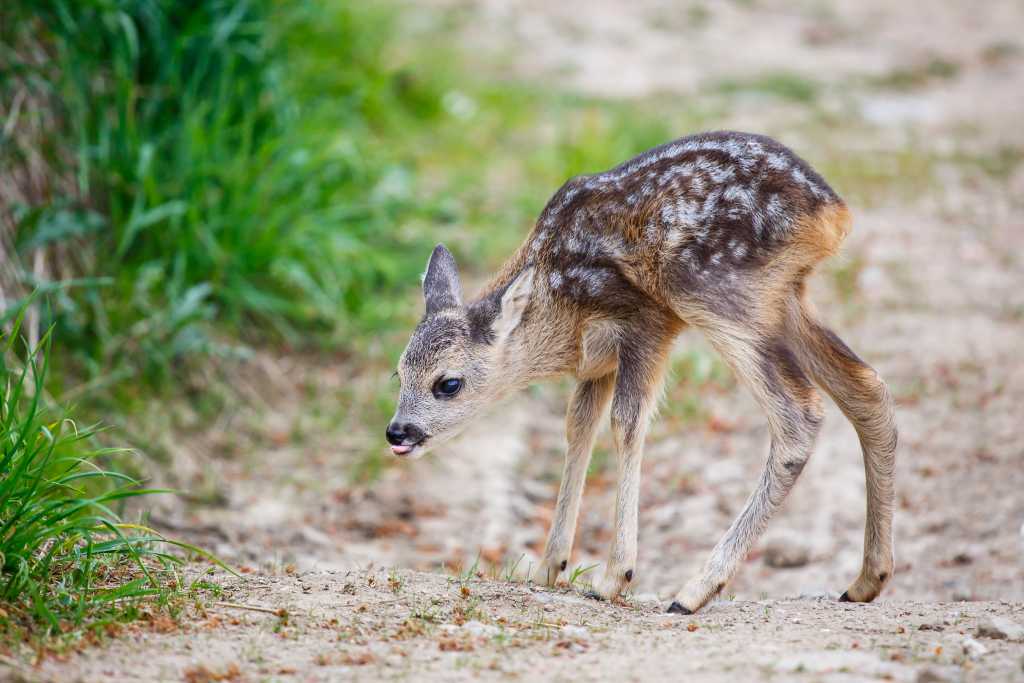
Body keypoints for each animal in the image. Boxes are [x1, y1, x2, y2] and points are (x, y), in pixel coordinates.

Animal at [387, 131, 901, 610]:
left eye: (449, 383)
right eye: (398, 373)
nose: (397, 431)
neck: (557, 306)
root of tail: (833, 213)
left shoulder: (647, 322)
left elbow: (627, 423)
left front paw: (615, 577)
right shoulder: (596, 362)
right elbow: (578, 428)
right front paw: (550, 568)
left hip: (711, 291)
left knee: (799, 412)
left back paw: (694, 590)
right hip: (784, 298)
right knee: (866, 388)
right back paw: (865, 581)